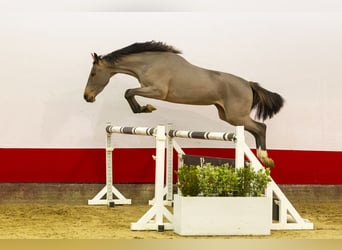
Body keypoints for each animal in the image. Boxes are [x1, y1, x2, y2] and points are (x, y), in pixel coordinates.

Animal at [83, 41, 284, 167]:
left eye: (93, 73)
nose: (87, 97)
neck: (149, 63)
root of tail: (248, 84)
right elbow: (129, 93)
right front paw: (143, 109)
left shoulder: (157, 91)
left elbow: (128, 92)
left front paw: (144, 108)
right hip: (228, 116)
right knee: (256, 129)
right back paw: (264, 158)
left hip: (237, 116)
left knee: (261, 127)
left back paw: (265, 158)